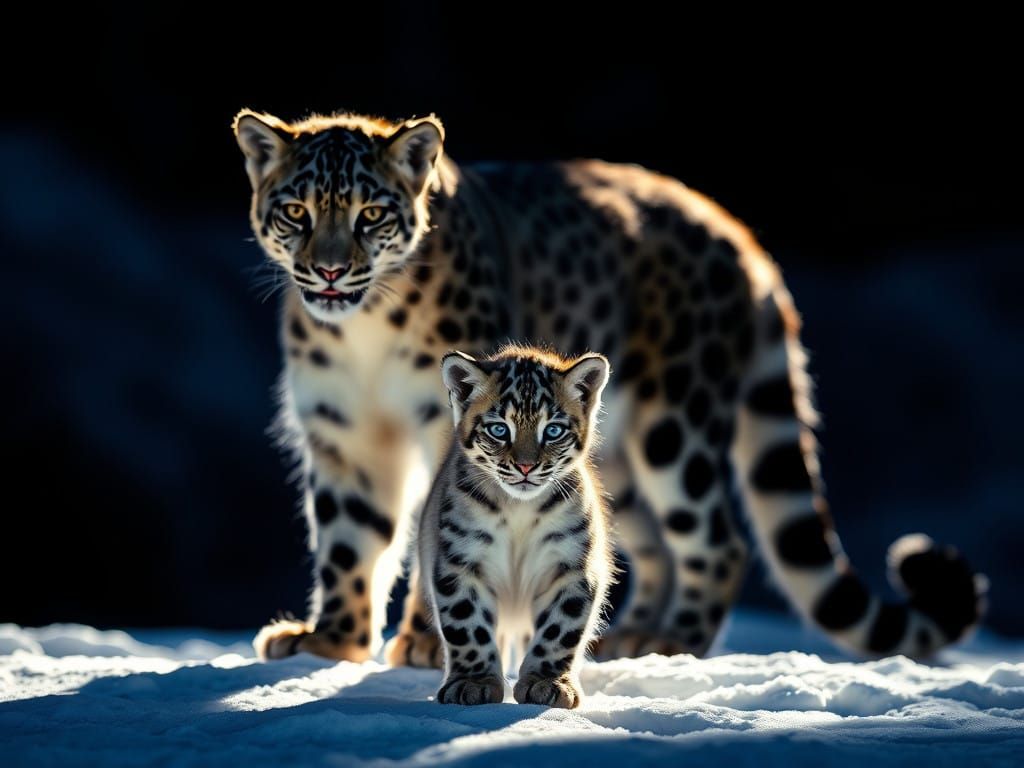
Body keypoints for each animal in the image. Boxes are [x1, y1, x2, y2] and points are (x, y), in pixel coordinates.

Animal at [235, 108, 985, 666]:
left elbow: (430, 534)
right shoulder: (341, 435)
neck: (361, 334)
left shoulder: (445, 427)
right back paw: (625, 638)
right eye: (297, 211)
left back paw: (671, 641)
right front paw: (331, 640)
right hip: (611, 453)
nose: (331, 272)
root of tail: (738, 235)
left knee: (718, 539)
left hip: (675, 426)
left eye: (371, 215)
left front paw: (422, 642)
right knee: (642, 541)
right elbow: (347, 537)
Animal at [421, 347, 612, 707]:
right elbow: (466, 624)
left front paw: (548, 683)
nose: (525, 466)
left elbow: (560, 628)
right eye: (499, 429)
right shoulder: (460, 561)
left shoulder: (572, 564)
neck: (518, 509)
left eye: (553, 430)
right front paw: (473, 682)